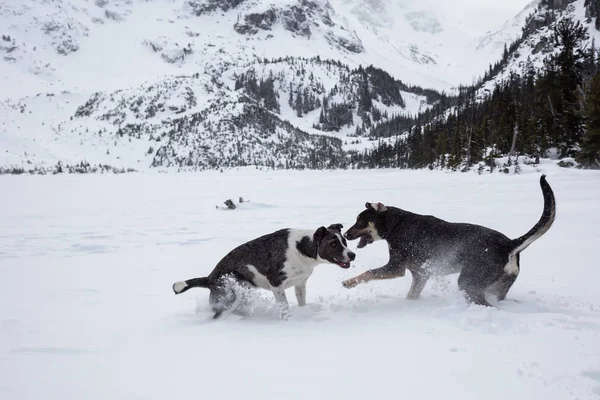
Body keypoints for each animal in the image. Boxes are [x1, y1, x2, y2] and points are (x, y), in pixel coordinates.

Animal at [171, 225, 354, 318]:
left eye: (344, 241)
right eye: (333, 244)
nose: (352, 255)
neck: (302, 247)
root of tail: (209, 278)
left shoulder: (300, 284)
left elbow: (301, 301)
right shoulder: (276, 283)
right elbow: (284, 308)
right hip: (230, 296)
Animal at [340, 175, 556, 306]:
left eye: (361, 221)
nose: (346, 235)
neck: (396, 225)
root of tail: (509, 244)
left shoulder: (396, 267)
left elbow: (368, 273)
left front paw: (349, 282)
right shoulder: (420, 275)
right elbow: (412, 295)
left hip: (468, 282)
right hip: (498, 287)